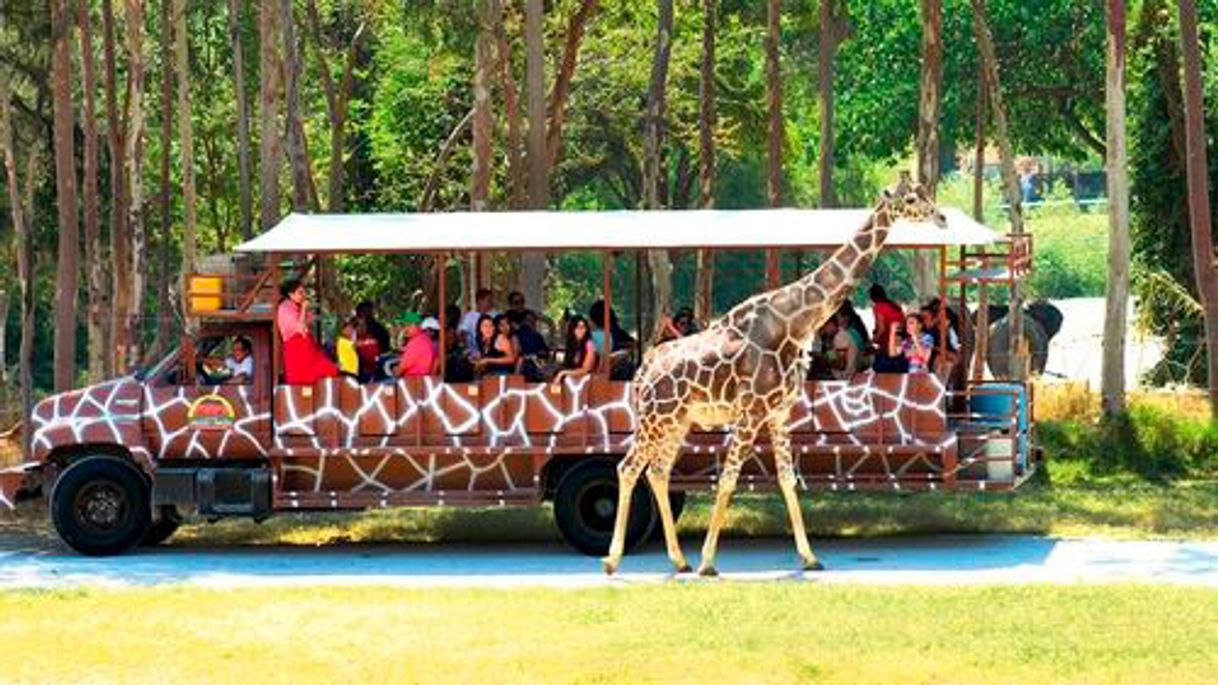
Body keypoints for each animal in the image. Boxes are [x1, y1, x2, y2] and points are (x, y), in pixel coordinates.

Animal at [604, 173, 945, 572]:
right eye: (912, 199)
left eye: (924, 193)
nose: (941, 218)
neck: (795, 322)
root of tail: (642, 372)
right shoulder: (751, 413)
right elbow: (728, 480)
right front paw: (708, 562)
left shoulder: (778, 414)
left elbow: (787, 479)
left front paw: (810, 557)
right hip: (655, 419)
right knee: (628, 468)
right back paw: (614, 560)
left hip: (677, 422)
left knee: (657, 471)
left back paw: (679, 560)